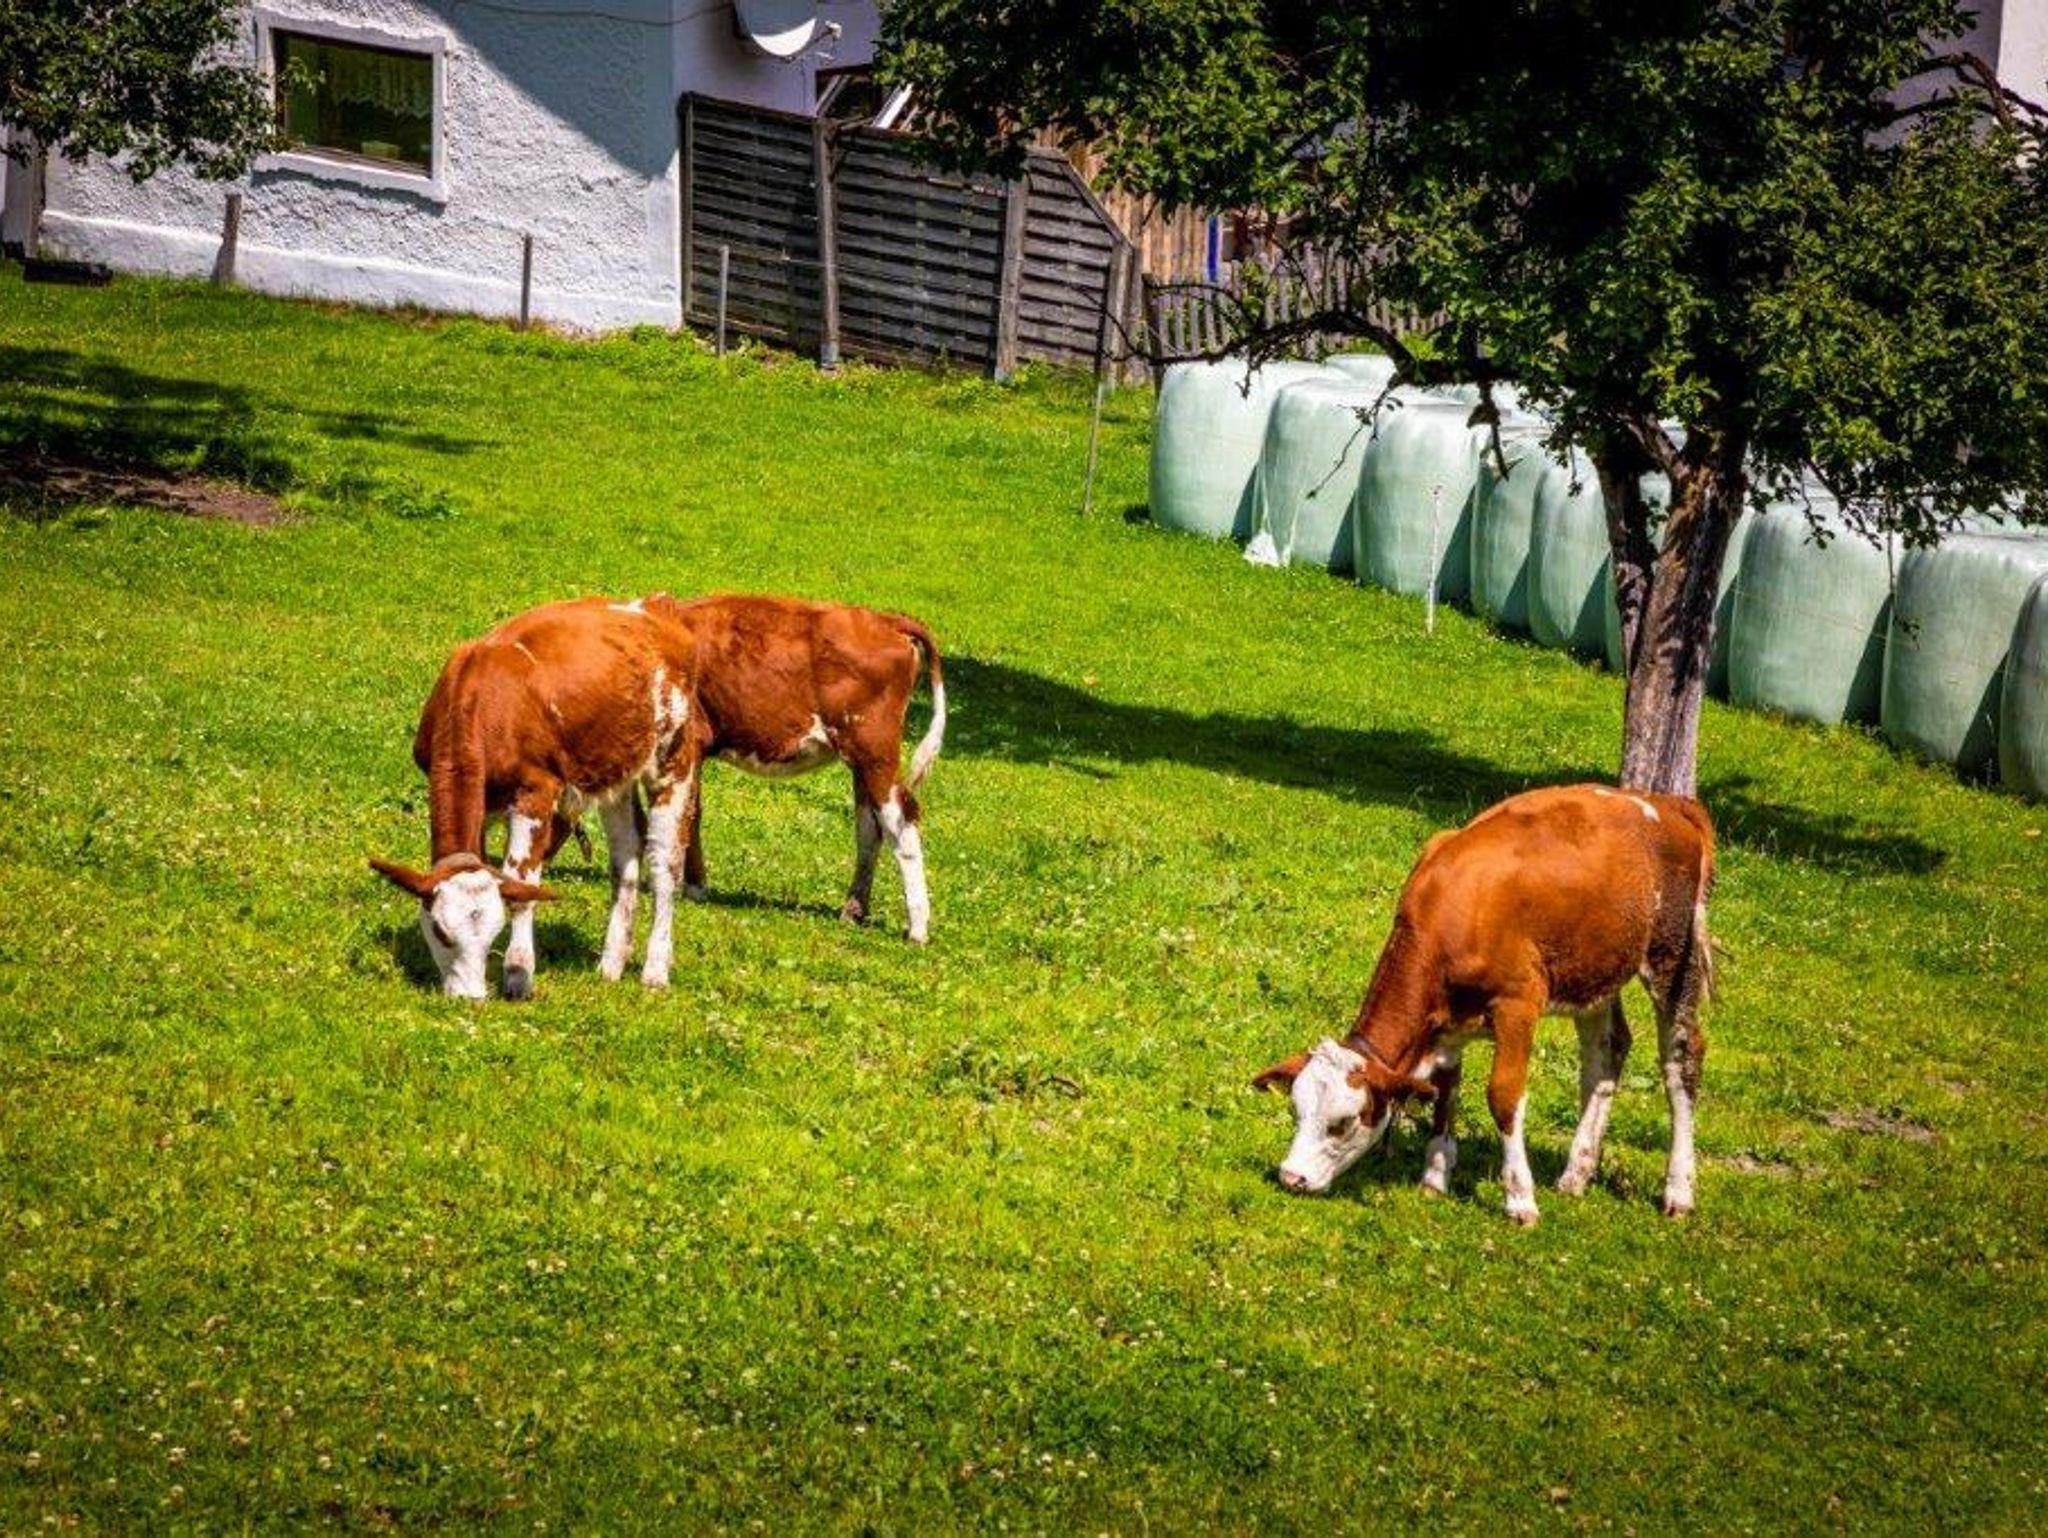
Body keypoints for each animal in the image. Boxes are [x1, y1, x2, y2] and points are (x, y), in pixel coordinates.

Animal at [370, 593, 945, 1000]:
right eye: (439, 931)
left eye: (487, 933)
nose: (468, 999)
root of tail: (886, 620)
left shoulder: (550, 789)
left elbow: (528, 875)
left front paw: (517, 972)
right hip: (855, 758)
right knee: (869, 824)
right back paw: (855, 907)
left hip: (863, 748)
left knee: (901, 820)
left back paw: (917, 926)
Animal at [1253, 784, 1716, 1224]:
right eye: (1296, 1110)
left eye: (1343, 1123)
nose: (1291, 1177)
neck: (1456, 911)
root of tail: (1666, 803)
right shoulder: (1445, 1022)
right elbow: (1445, 1089)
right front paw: (1435, 1177)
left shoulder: (1518, 1005)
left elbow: (1503, 1096)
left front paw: (1520, 1199)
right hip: (1595, 972)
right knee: (1606, 1053)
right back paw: (1576, 1173)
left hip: (1674, 956)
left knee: (1681, 1060)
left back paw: (1678, 1191)